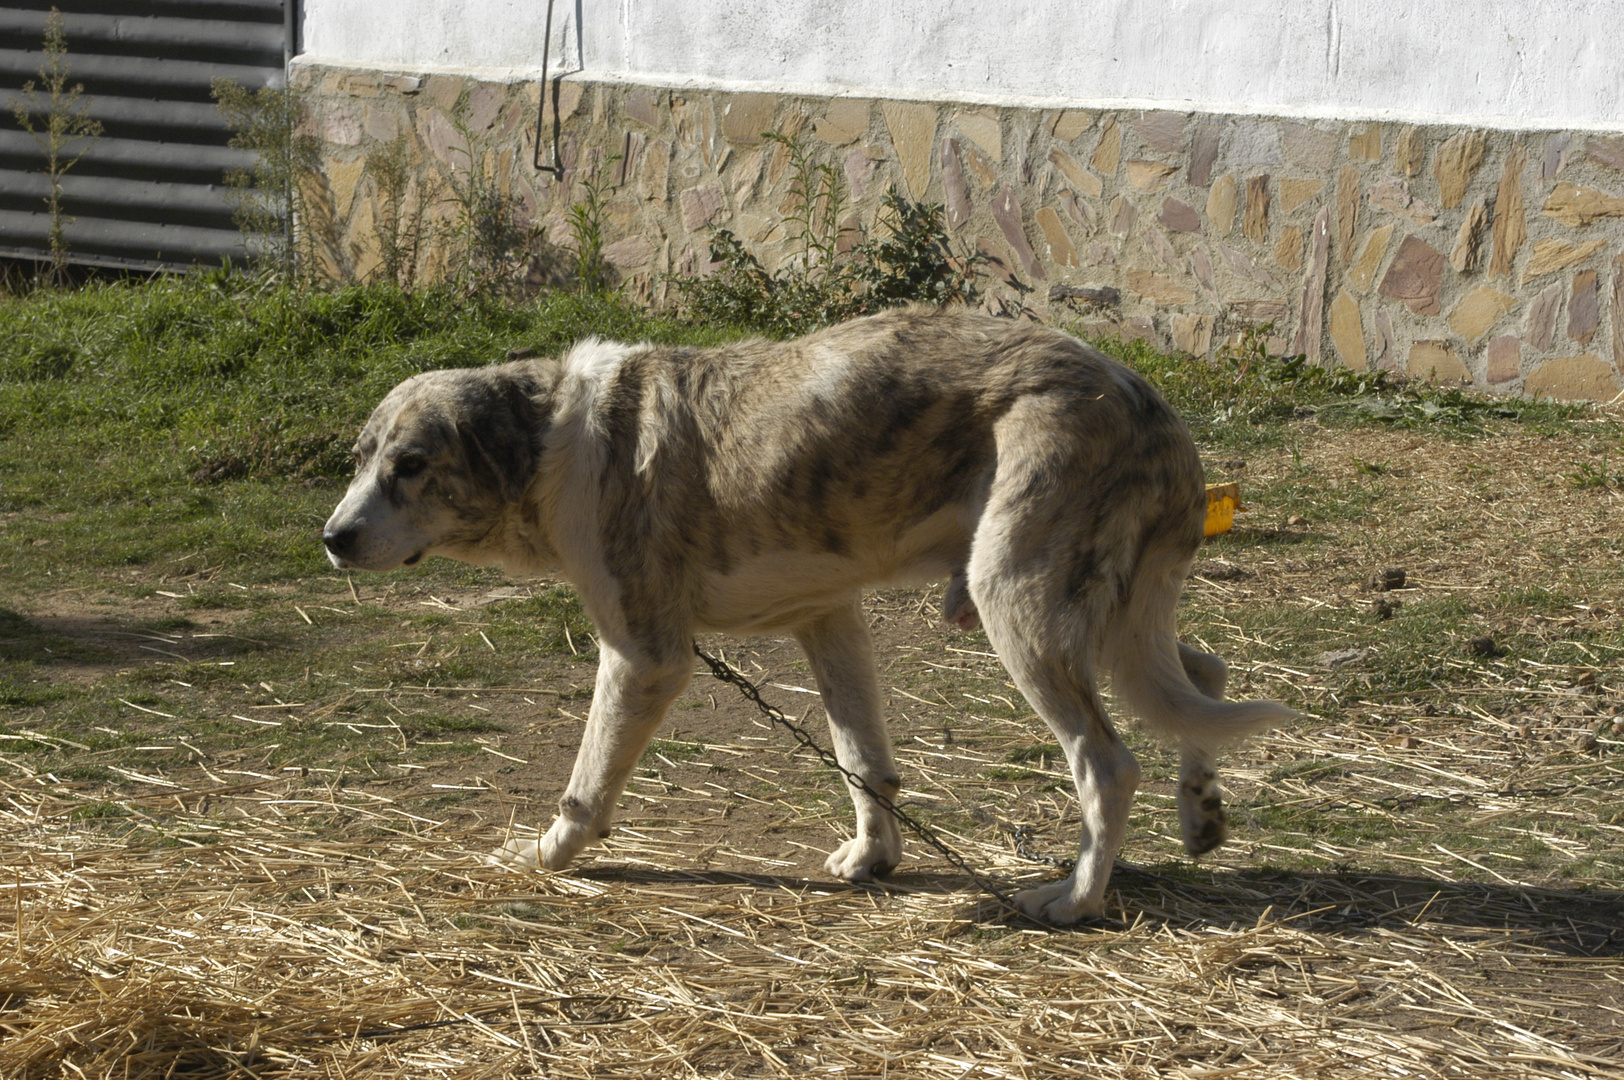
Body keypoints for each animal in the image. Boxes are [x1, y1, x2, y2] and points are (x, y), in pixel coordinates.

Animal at [326, 306, 1292, 922]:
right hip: (1112, 616)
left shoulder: (643, 655)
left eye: (412, 465)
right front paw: (872, 860)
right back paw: (1200, 812)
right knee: (1206, 675)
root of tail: (1140, 394)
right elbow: (864, 761)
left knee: (1107, 761)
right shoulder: (828, 619)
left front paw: (548, 855)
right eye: (359, 459)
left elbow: (587, 783)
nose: (333, 538)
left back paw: (1079, 900)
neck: (551, 440)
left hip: (1017, 603)